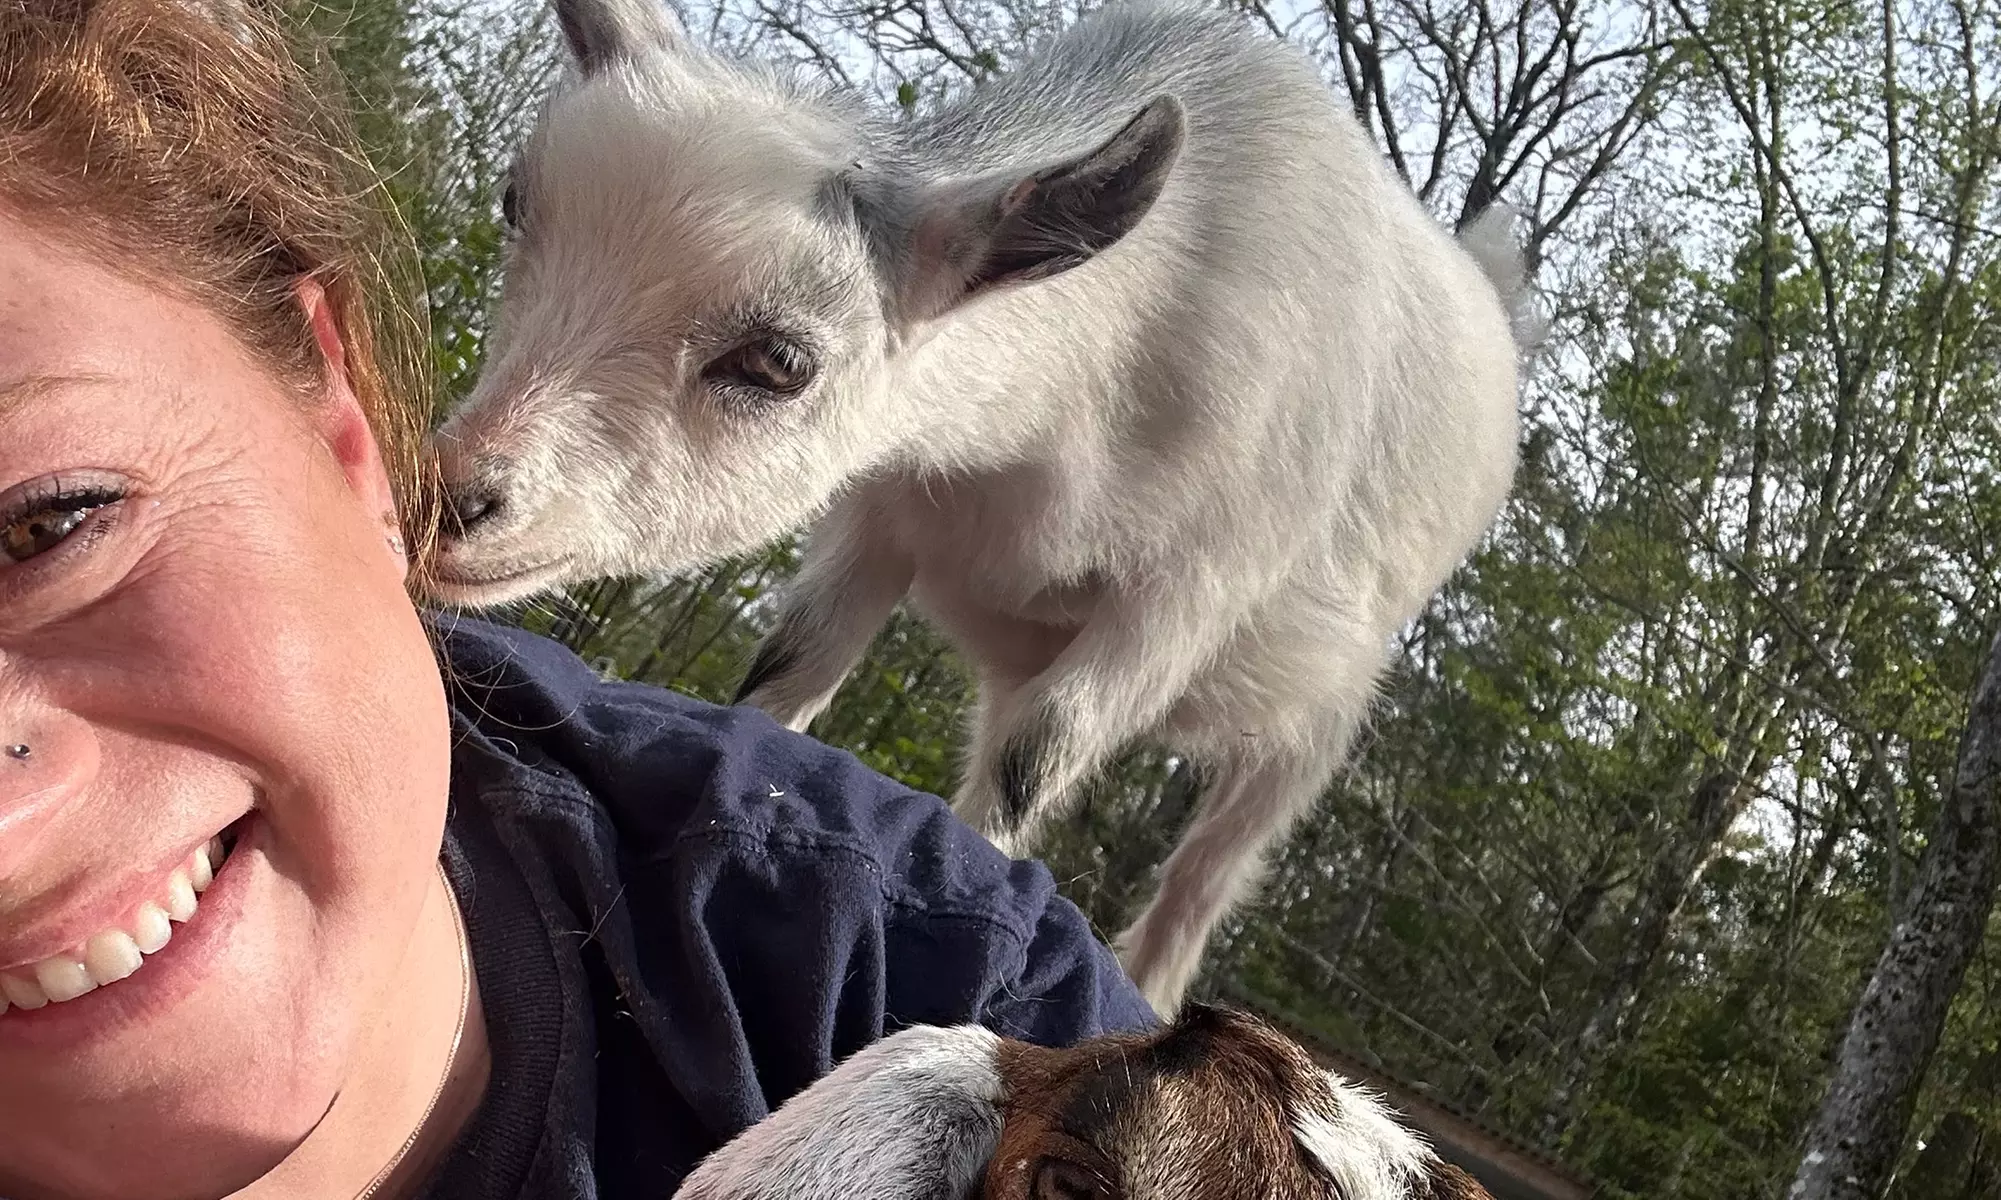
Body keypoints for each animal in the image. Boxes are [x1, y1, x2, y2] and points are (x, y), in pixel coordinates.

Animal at [428, 0, 1529, 1016]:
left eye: (777, 361)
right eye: (514, 202)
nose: (453, 499)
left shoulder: (1185, 598)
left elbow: (1036, 758)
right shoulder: (878, 516)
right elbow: (792, 669)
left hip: (1316, 721)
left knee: (1209, 870)